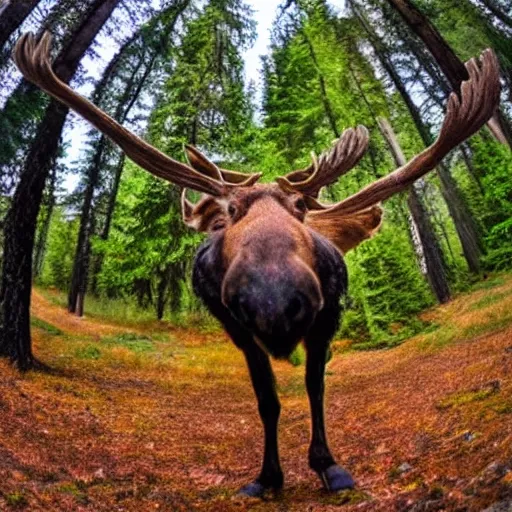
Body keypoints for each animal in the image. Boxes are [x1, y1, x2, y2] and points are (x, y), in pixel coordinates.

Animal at [13, 33, 500, 496]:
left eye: (300, 208)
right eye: (229, 212)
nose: (274, 299)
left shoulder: (327, 318)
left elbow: (315, 388)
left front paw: (327, 464)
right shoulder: (238, 330)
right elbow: (267, 401)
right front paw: (268, 476)